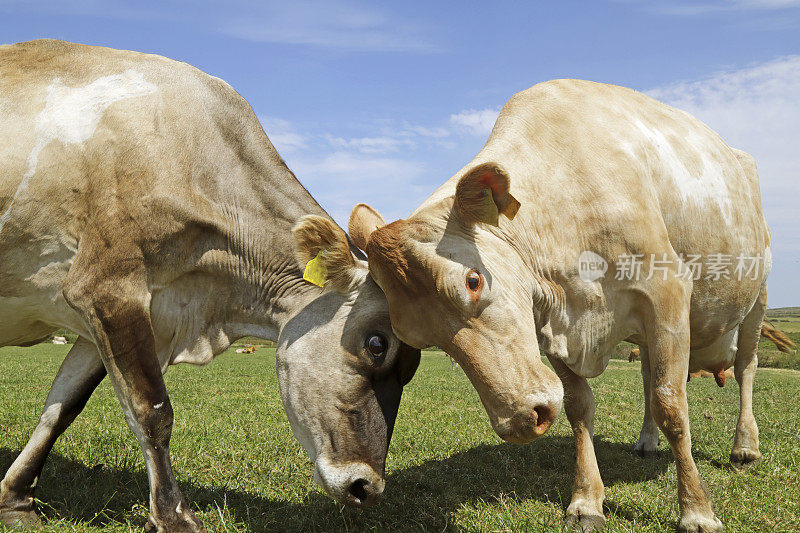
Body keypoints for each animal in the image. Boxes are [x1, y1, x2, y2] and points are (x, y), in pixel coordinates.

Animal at [0, 39, 422, 528]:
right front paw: (173, 517)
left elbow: (61, 408)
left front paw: (16, 501)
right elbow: (152, 411)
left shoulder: (102, 318)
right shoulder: (106, 286)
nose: (367, 487)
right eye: (377, 344)